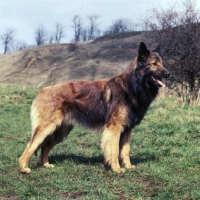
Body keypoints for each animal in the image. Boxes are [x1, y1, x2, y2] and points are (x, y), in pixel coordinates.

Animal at [18, 41, 170, 173]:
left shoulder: (127, 130)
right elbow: (115, 150)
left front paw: (128, 166)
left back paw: (46, 164)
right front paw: (116, 168)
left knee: (45, 146)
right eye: (154, 64)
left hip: (60, 131)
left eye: (162, 64)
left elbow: (125, 150)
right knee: (31, 145)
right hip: (47, 127)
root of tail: (44, 90)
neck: (132, 87)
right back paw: (24, 168)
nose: (168, 74)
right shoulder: (114, 129)